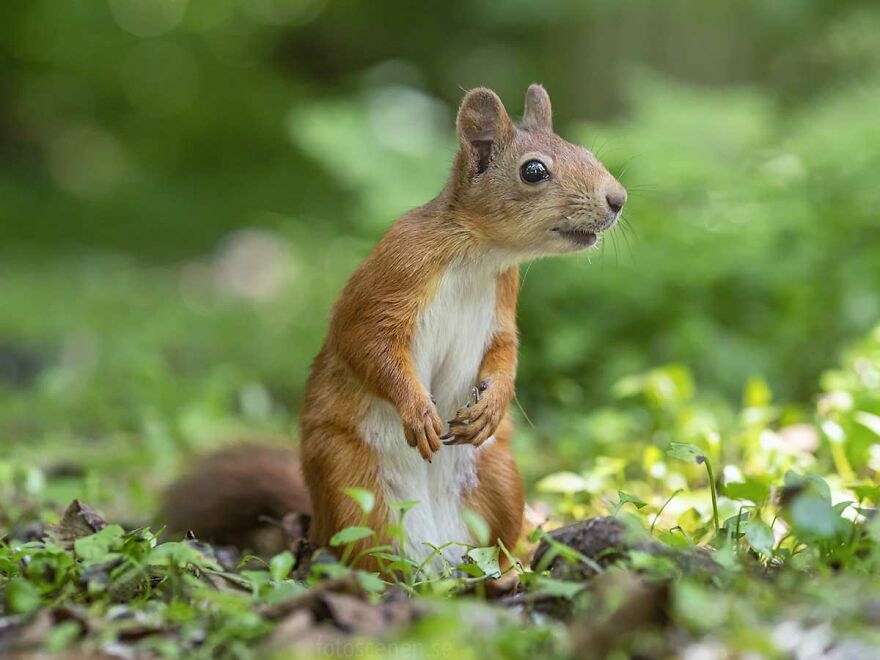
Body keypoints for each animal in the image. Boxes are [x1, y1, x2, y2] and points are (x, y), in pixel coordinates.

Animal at [163, 84, 626, 572]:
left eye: (586, 152)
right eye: (533, 171)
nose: (618, 198)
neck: (479, 255)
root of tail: (435, 557)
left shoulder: (503, 301)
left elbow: (506, 351)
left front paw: (493, 404)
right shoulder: (395, 271)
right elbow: (368, 343)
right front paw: (417, 410)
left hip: (499, 479)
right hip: (349, 486)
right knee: (363, 555)